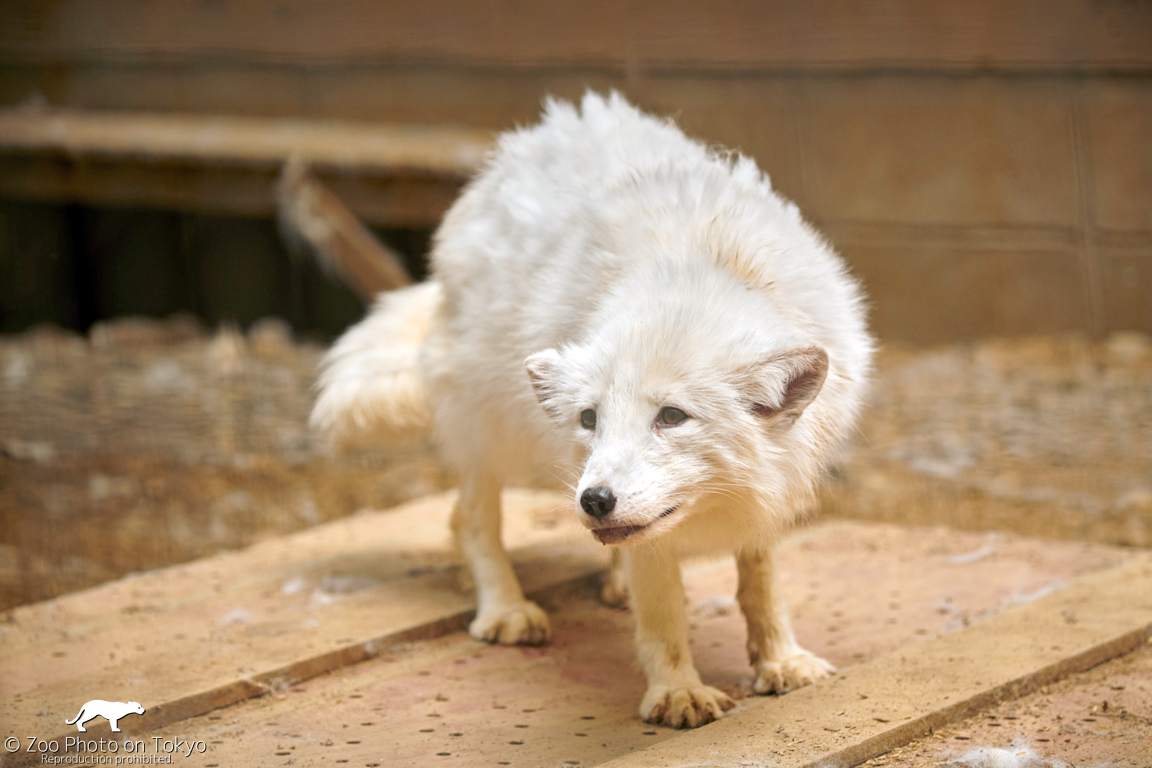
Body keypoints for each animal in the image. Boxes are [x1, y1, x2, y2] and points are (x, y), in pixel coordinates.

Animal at [315, 93, 870, 732]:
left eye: (672, 416)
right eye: (589, 418)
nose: (594, 501)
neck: (708, 267)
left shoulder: (773, 483)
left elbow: (761, 583)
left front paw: (781, 660)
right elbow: (663, 615)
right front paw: (678, 693)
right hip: (490, 425)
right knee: (469, 519)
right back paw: (506, 609)